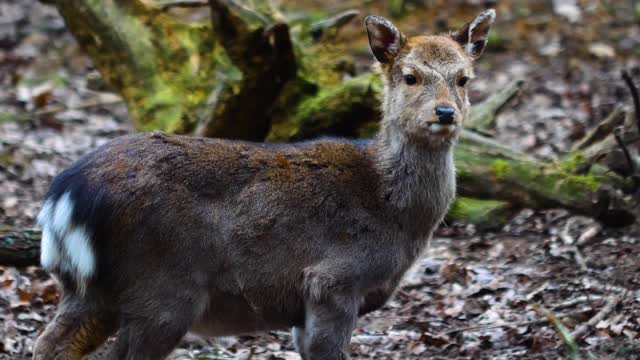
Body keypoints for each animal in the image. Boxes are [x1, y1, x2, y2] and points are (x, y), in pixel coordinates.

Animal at [33, 9, 496, 360]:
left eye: (464, 78)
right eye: (410, 76)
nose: (445, 113)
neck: (395, 214)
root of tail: (63, 197)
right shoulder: (333, 279)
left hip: (89, 287)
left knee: (50, 344)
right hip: (162, 287)